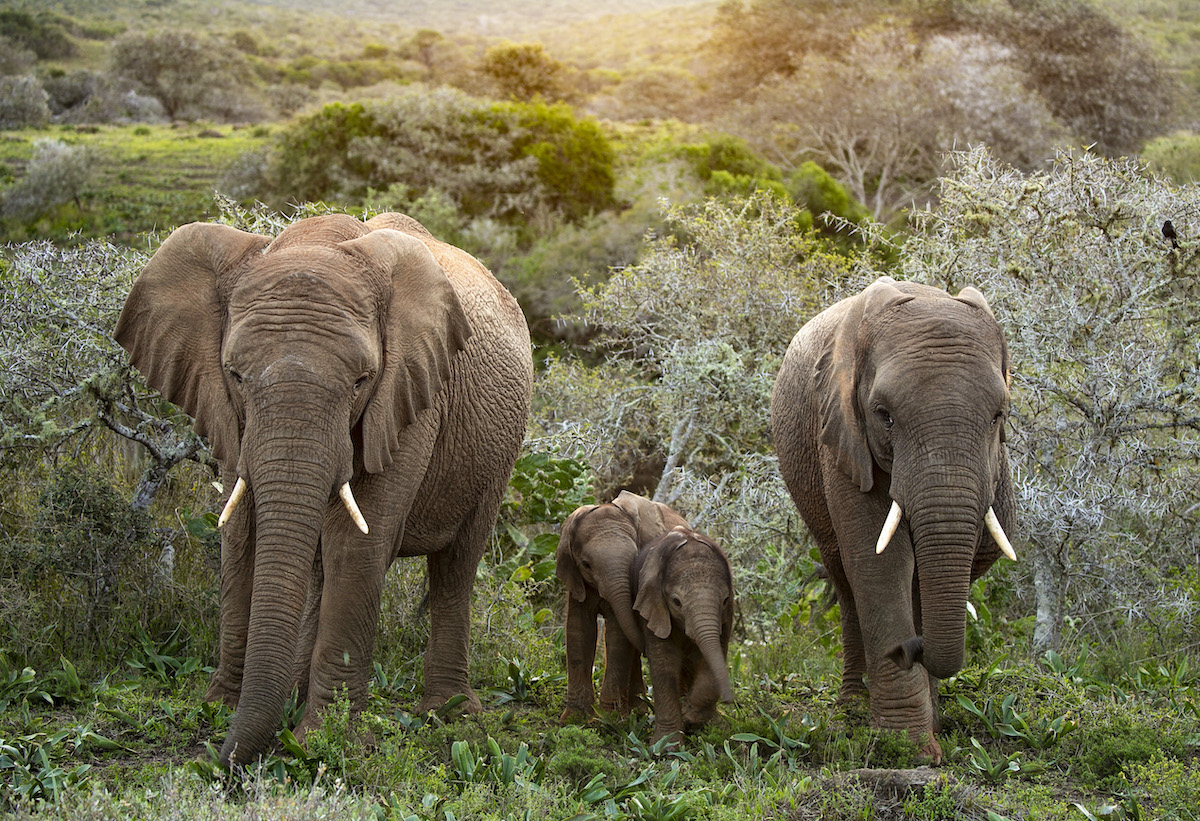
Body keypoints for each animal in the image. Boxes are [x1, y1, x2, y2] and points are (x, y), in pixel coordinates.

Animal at [113, 210, 535, 763]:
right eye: (235, 375)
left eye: (362, 380)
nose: (218, 763)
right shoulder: (228, 412)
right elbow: (242, 534)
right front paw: (221, 708)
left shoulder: (409, 395)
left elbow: (356, 546)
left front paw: (324, 740)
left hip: (499, 452)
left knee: (456, 565)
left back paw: (448, 715)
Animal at [554, 489, 691, 720]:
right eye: (586, 564)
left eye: (636, 558)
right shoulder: (576, 580)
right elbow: (579, 629)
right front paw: (574, 718)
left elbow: (617, 633)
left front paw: (607, 719)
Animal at [633, 525, 734, 744]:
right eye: (676, 602)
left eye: (724, 600)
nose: (729, 700)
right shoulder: (652, 607)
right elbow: (665, 662)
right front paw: (665, 747)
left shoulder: (727, 615)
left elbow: (716, 653)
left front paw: (689, 715)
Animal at [772, 276, 1017, 763]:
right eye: (884, 415)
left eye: (999, 415)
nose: (908, 650)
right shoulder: (842, 433)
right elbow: (878, 564)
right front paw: (911, 750)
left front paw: (925, 735)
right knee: (844, 576)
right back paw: (852, 707)